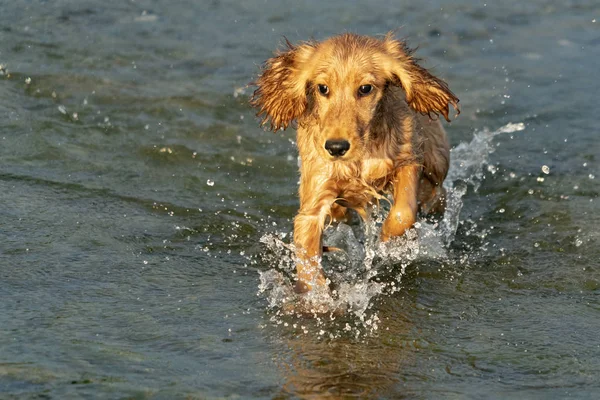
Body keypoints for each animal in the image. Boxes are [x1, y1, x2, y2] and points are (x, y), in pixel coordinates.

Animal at [251, 33, 458, 294]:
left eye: (365, 89)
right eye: (323, 88)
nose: (336, 147)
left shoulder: (408, 158)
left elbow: (403, 212)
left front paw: (388, 241)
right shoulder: (315, 198)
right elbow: (308, 254)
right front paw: (315, 295)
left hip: (436, 162)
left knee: (437, 192)